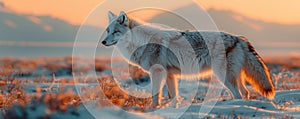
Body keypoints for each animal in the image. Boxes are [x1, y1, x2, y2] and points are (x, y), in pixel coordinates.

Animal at [102, 11, 276, 107]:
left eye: (115, 32)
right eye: (108, 31)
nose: (103, 42)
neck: (141, 42)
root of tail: (239, 38)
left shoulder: (157, 72)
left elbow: (155, 95)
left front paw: (153, 109)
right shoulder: (170, 75)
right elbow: (173, 97)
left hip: (224, 77)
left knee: (239, 94)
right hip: (233, 77)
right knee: (245, 93)